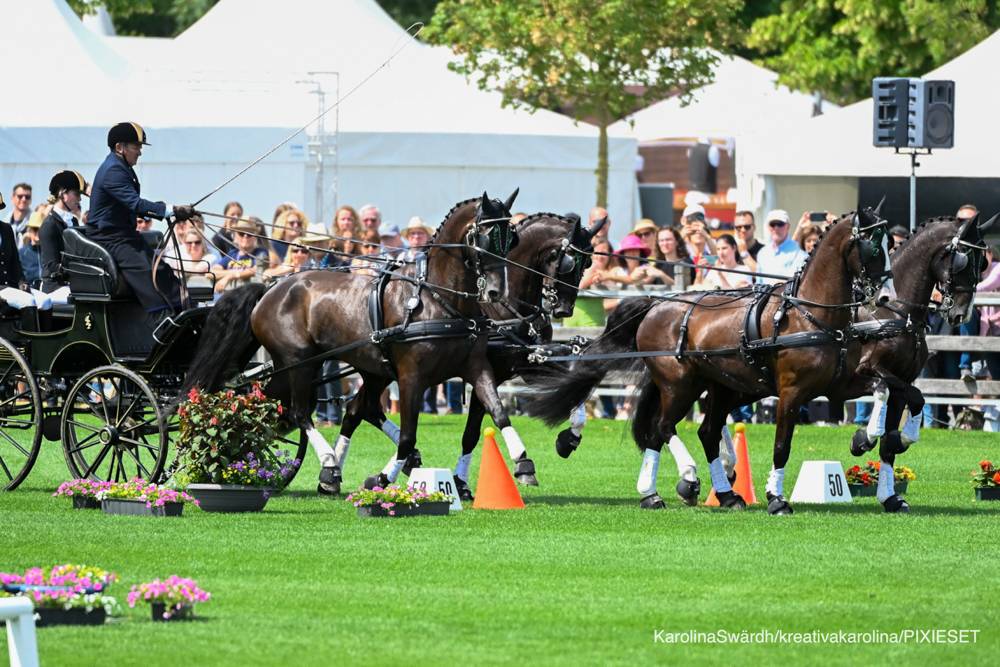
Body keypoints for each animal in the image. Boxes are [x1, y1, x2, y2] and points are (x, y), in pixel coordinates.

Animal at [181, 191, 520, 494]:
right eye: (484, 238)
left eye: (511, 240)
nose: (496, 292)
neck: (437, 299)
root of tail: (270, 288)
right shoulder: (411, 376)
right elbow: (408, 435)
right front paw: (380, 478)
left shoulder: (476, 367)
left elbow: (498, 413)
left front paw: (522, 462)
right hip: (297, 362)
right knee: (298, 412)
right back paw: (326, 464)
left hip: (329, 366)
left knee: (275, 406)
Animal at [524, 206, 891, 514]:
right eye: (873, 246)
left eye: (889, 243)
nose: (887, 296)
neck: (809, 314)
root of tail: (657, 304)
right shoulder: (791, 392)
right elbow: (781, 445)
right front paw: (776, 499)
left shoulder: (837, 385)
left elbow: (882, 387)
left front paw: (864, 439)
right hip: (680, 385)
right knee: (664, 427)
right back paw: (679, 481)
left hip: (719, 387)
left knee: (702, 432)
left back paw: (707, 494)